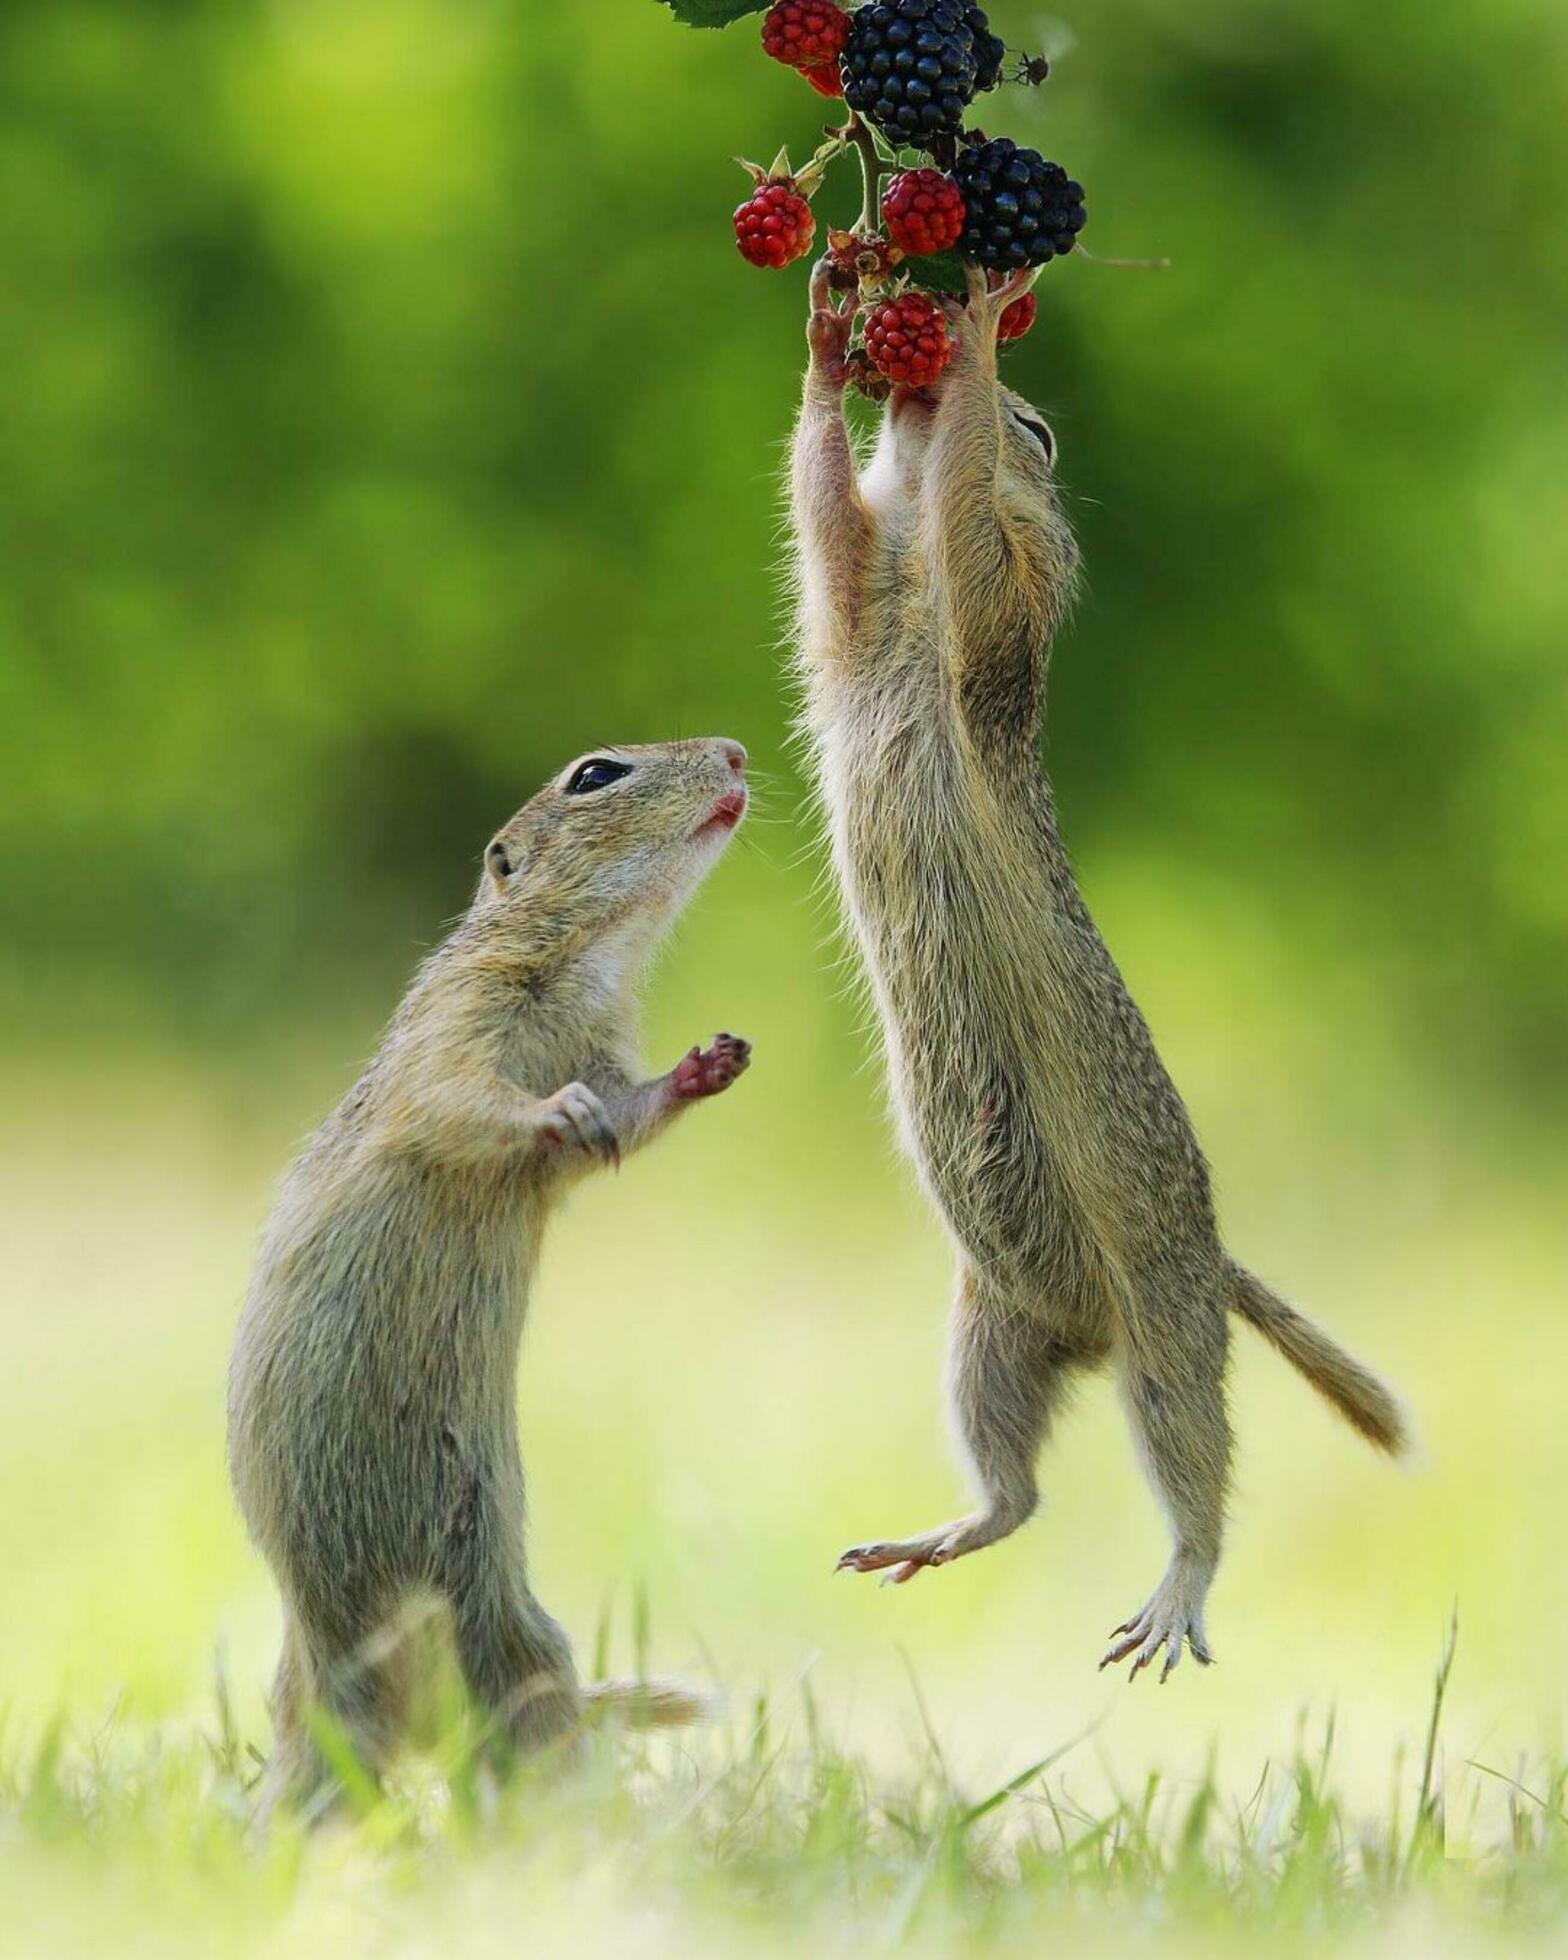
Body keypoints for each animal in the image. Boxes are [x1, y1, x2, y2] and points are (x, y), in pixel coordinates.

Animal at [228, 738, 752, 1813]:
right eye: (595, 774)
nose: (736, 751)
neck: (591, 962)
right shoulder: (456, 1018)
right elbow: (460, 1099)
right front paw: (556, 1111)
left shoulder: (601, 1051)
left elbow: (628, 1116)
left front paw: (709, 1065)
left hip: (507, 1637)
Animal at [789, 262, 1408, 1679]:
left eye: (1042, 429)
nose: (905, 374)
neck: (907, 620)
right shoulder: (853, 610)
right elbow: (826, 516)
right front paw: (828, 338)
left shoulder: (1000, 603)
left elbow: (973, 529)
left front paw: (963, 345)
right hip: (986, 1327)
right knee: (1017, 1491)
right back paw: (935, 1532)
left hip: (1165, 1330)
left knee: (1197, 1468)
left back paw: (1177, 1591)